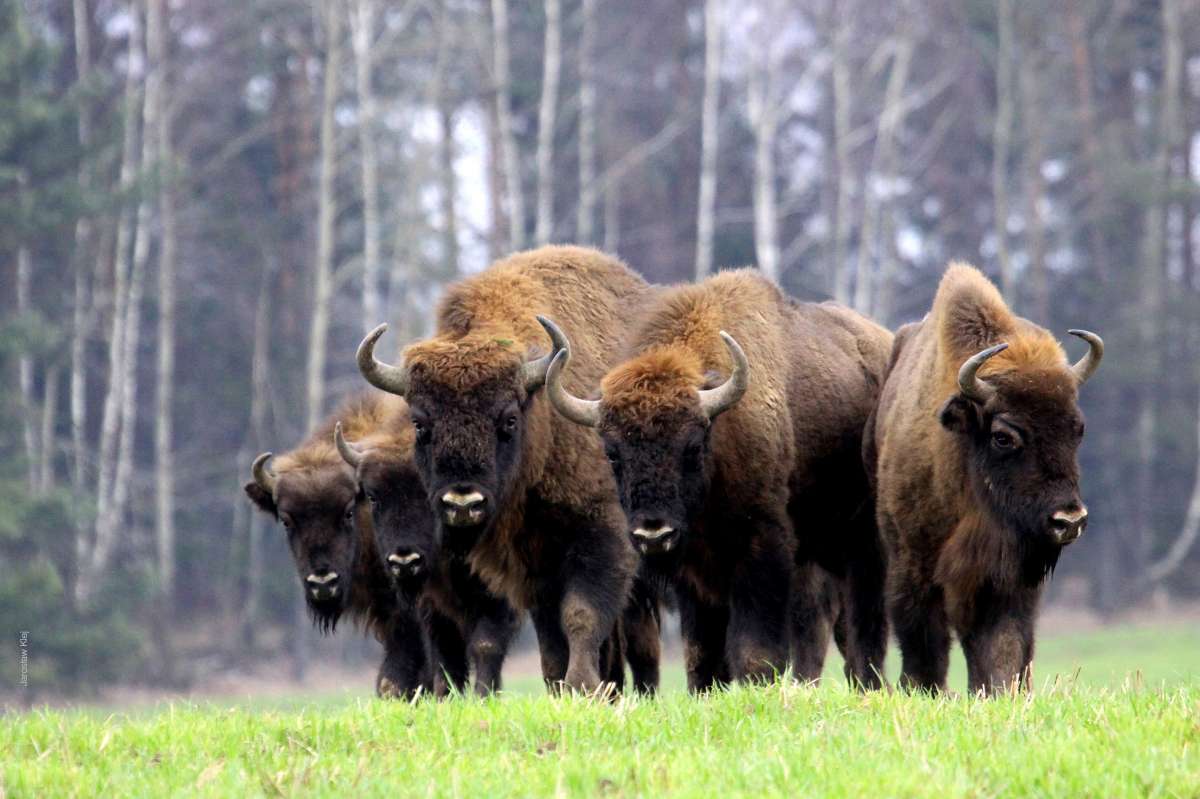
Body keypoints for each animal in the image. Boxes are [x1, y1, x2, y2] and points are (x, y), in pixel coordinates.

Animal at [338, 412, 525, 695]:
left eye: (428, 492)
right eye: (373, 496)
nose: (405, 562)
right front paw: (445, 698)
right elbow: (445, 655)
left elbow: (485, 644)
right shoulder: (432, 606)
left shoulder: (496, 597)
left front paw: (484, 695)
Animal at [355, 244, 657, 691]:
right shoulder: (532, 570)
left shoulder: (602, 537)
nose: (463, 502)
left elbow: (581, 616)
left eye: (509, 419)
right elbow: (552, 638)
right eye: (420, 424)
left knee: (642, 641)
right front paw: (561, 687)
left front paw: (581, 686)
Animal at [544, 268, 892, 691]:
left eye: (693, 446)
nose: (653, 534)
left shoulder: (762, 549)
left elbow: (756, 650)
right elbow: (702, 656)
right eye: (612, 452)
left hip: (861, 544)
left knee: (863, 623)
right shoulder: (694, 576)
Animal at [864, 261, 1104, 691]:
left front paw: (1000, 691)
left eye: (1077, 428)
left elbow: (1002, 644)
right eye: (1003, 436)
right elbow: (924, 642)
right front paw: (922, 689)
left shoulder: (1006, 578)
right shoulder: (913, 565)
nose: (1069, 521)